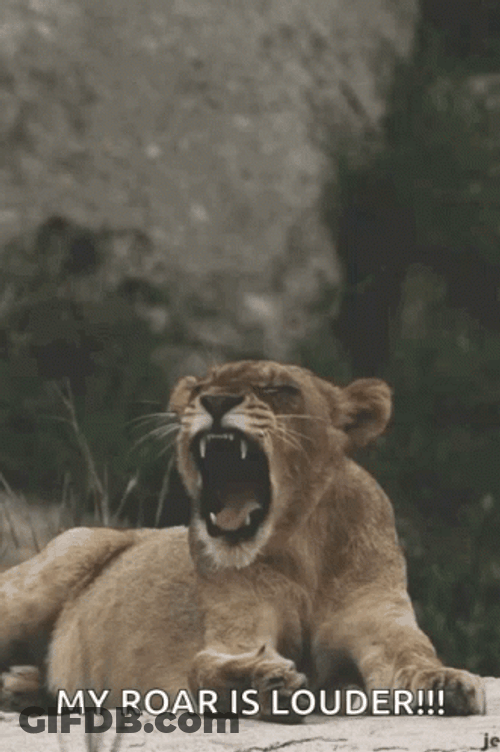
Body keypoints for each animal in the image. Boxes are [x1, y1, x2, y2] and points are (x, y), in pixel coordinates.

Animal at [0, 360, 485, 717]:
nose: (214, 400)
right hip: (52, 569)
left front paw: (443, 682)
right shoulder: (235, 632)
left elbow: (414, 654)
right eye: (202, 386)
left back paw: (23, 685)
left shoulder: (380, 619)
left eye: (278, 388)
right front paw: (264, 682)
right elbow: (205, 669)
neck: (300, 547)